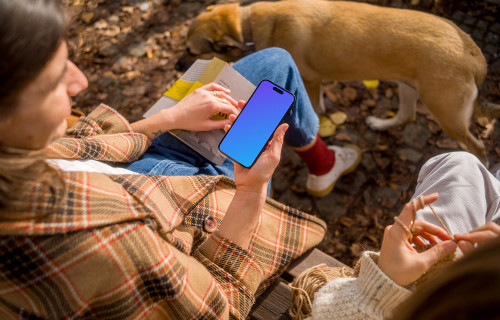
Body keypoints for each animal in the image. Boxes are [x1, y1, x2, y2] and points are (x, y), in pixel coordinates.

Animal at [177, 0, 500, 164]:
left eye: (191, 50)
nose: (179, 67)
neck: (248, 27)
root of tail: (474, 55)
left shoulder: (310, 81)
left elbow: (316, 109)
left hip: (448, 115)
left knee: (479, 147)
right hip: (408, 87)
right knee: (407, 116)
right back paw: (380, 123)